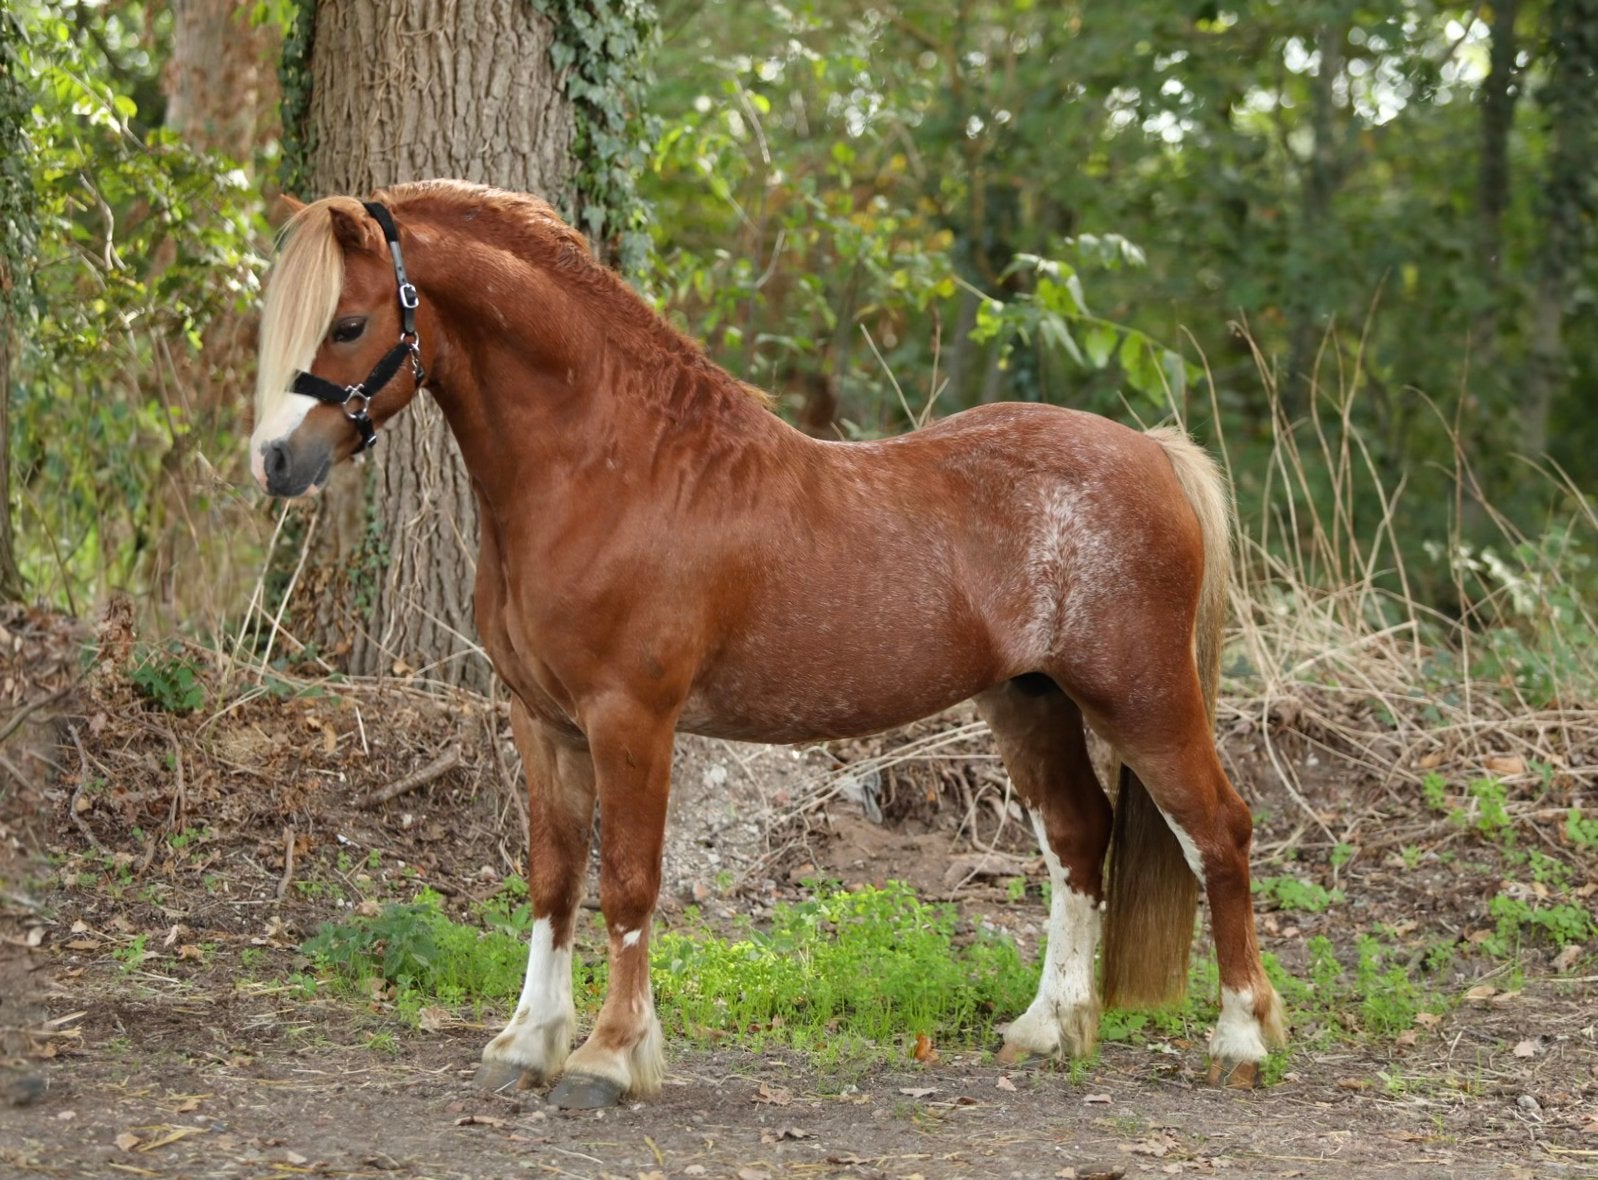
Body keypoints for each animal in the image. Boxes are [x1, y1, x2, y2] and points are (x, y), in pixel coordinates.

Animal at [249, 179, 1286, 1108]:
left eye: (348, 323)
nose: (274, 462)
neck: (610, 470)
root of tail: (1155, 451)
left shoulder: (633, 720)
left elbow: (628, 883)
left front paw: (607, 1059)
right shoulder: (541, 720)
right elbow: (553, 879)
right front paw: (525, 1045)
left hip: (1142, 696)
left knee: (1218, 832)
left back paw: (1241, 1041)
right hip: (1029, 701)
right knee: (1078, 837)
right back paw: (1049, 1029)